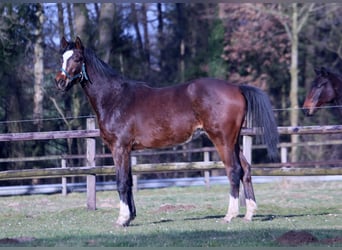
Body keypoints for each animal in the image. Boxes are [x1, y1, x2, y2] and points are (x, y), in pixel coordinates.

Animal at [54, 36, 278, 227]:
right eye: (61, 57)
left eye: (77, 58)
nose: (60, 82)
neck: (115, 98)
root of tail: (236, 88)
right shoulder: (128, 150)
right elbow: (129, 181)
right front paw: (130, 217)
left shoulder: (119, 148)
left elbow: (122, 182)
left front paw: (122, 219)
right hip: (234, 141)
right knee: (246, 169)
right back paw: (249, 214)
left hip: (222, 140)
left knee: (234, 171)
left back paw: (230, 215)